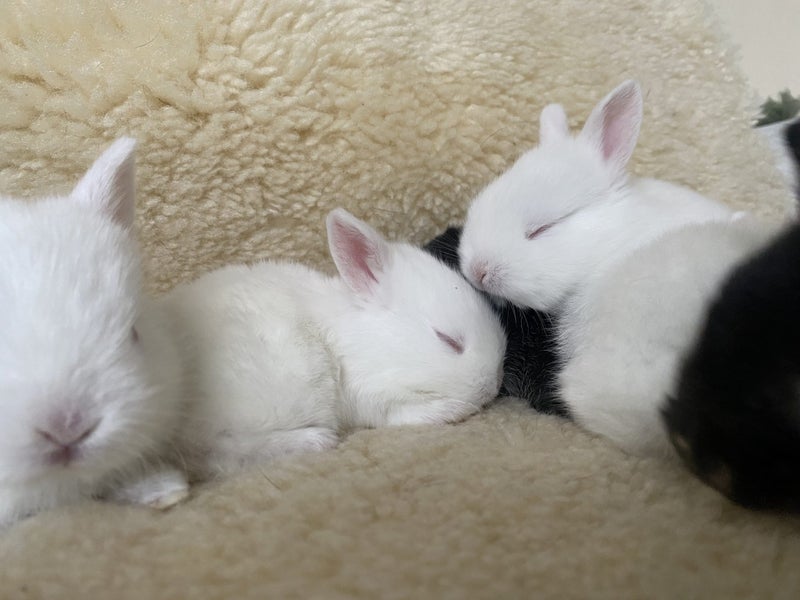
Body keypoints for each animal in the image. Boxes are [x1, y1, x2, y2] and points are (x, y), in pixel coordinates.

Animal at [162, 209, 507, 480]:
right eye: (448, 340)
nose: (492, 386)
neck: (350, 339)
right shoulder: (372, 394)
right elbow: (404, 414)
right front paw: (454, 409)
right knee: (220, 452)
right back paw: (316, 440)